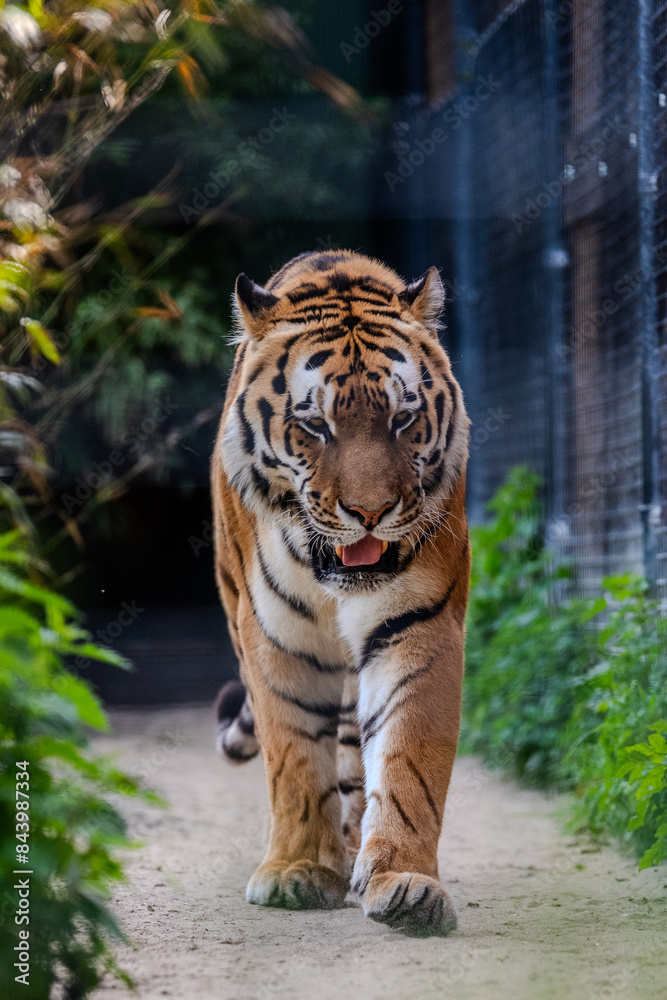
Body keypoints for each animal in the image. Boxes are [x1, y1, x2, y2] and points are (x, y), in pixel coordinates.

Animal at [211, 249, 470, 936]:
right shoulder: (275, 637)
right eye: (314, 425)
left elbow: (409, 758)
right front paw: (296, 870)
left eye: (403, 419)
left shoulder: (418, 625)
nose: (371, 513)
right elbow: (295, 757)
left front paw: (404, 881)